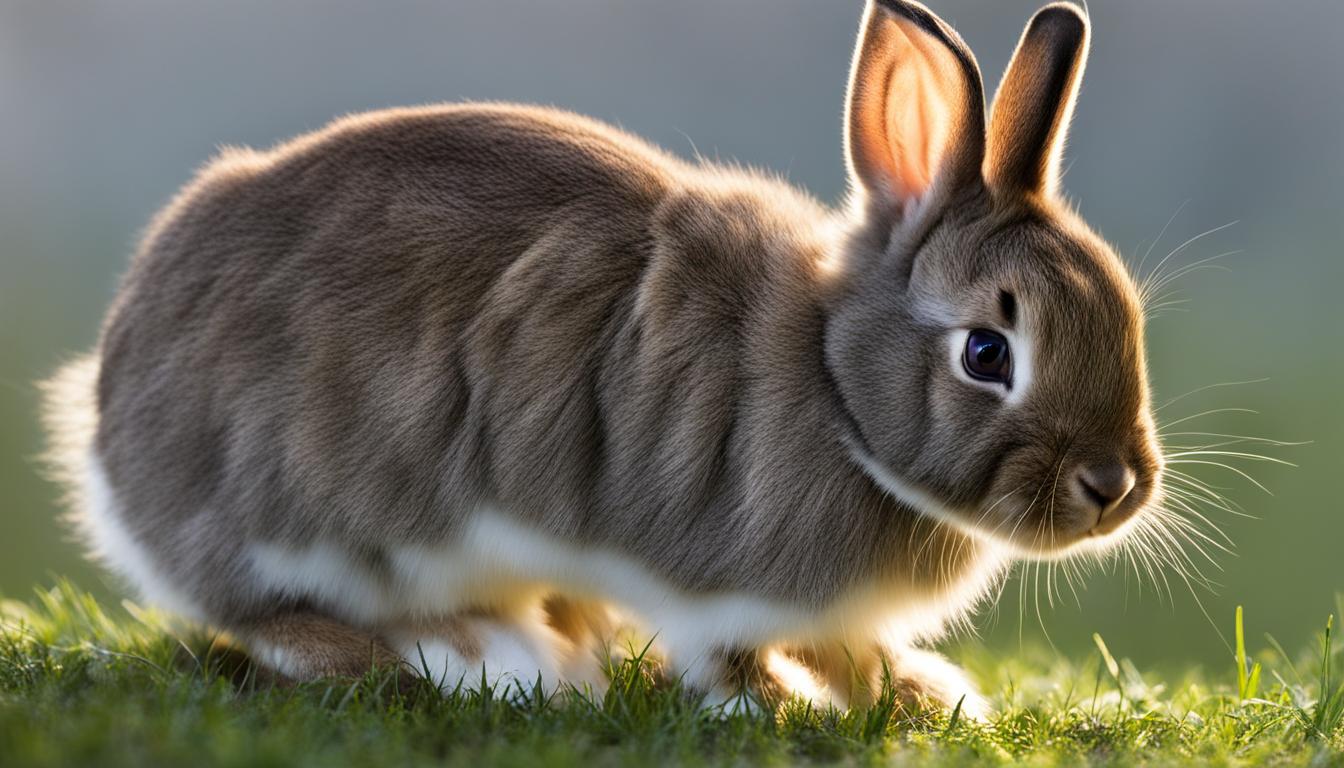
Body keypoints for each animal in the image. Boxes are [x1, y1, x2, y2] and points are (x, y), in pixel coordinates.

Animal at [43, 0, 1163, 714]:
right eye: (987, 351)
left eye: (1126, 313)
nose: (1114, 486)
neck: (836, 389)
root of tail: (105, 428)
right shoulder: (712, 578)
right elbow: (726, 656)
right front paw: (789, 704)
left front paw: (919, 689)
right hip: (304, 517)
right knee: (268, 615)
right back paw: (501, 657)